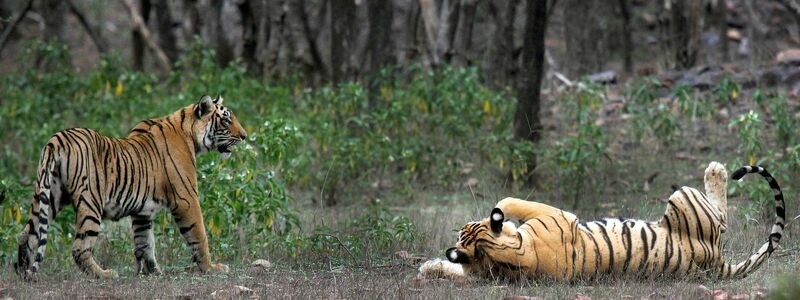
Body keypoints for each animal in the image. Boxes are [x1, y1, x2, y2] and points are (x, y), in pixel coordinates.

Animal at [14, 95, 247, 278]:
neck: (189, 133)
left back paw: (22, 272)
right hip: (90, 201)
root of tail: (57, 139)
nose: (244, 136)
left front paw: (153, 272)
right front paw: (211, 268)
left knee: (28, 233)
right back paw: (104, 274)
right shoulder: (186, 199)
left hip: (50, 195)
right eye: (226, 120)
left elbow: (145, 242)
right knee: (80, 247)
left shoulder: (142, 211)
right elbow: (199, 235)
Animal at [422, 163, 784, 280]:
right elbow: (510, 202)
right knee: (721, 217)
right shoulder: (556, 215)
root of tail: (717, 262)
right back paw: (716, 170)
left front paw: (428, 267)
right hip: (683, 196)